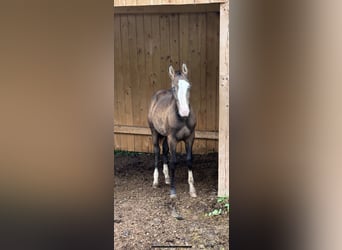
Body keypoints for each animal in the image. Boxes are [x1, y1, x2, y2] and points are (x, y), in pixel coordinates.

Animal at [148, 63, 198, 198]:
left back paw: (167, 178)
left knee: (164, 151)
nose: (185, 112)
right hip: (155, 133)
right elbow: (173, 162)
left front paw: (192, 189)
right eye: (173, 88)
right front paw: (173, 191)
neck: (182, 119)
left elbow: (189, 160)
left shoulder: (190, 138)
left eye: (189, 86)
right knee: (157, 152)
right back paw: (155, 182)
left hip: (165, 136)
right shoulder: (173, 139)